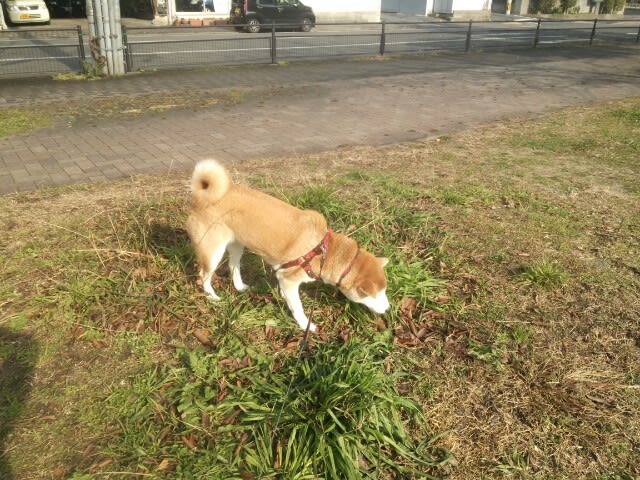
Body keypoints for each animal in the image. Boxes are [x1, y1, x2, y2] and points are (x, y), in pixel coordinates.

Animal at [185, 159, 390, 332]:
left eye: (384, 291)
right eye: (375, 295)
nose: (388, 309)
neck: (324, 251)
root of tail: (199, 197)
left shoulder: (285, 279)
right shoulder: (288, 279)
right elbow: (298, 308)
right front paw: (305, 325)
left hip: (237, 245)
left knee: (232, 265)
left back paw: (240, 286)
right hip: (213, 252)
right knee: (204, 275)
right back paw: (212, 297)